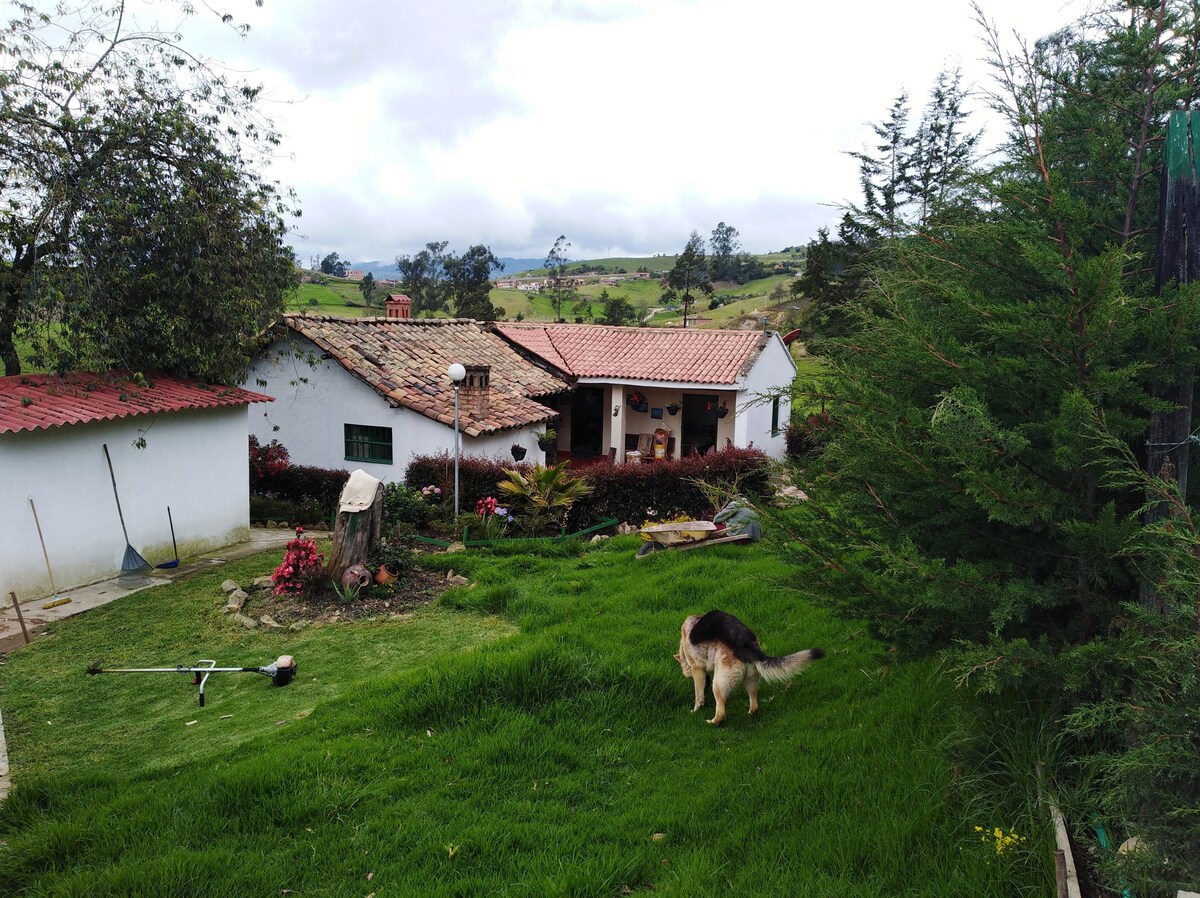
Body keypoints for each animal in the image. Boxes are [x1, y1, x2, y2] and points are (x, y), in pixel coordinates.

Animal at [676, 607, 825, 725]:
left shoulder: (697, 668)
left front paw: (696, 709)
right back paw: (750, 714)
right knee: (754, 704)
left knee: (721, 711)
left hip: (718, 684)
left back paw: (713, 722)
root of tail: (747, 644)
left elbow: (698, 694)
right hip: (751, 680)